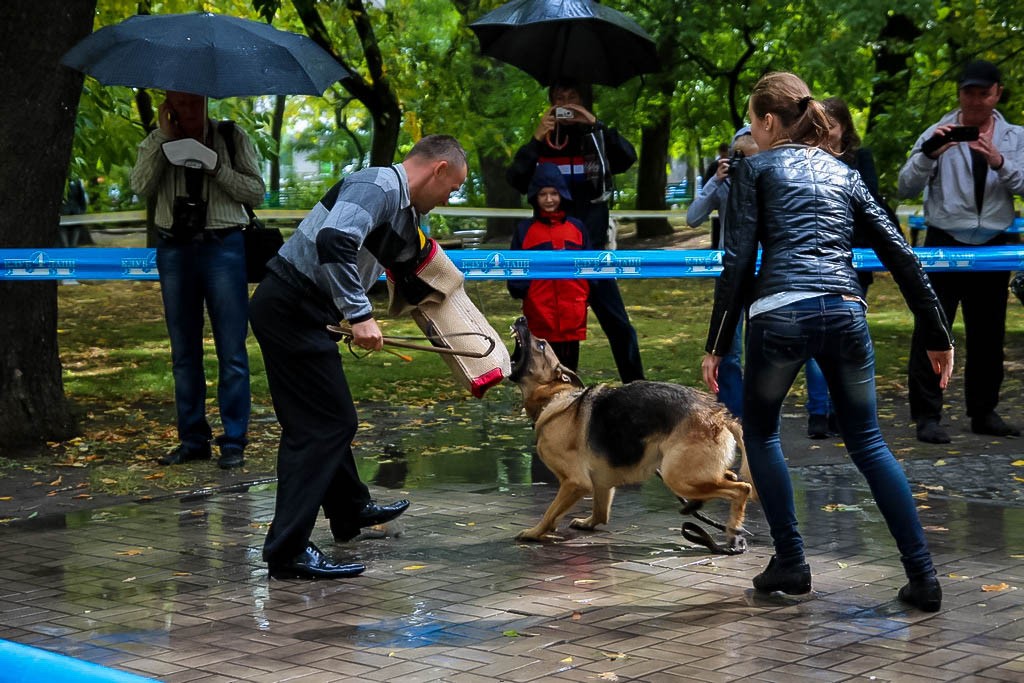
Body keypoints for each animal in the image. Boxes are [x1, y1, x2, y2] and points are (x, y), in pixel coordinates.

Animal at [509, 317, 753, 552]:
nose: (521, 318)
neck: (554, 397)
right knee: (729, 477)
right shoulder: (601, 484)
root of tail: (719, 414)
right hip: (690, 473)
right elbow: (599, 513)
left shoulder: (575, 483)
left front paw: (535, 532)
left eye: (541, 345)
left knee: (742, 489)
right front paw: (583, 523)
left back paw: (733, 530)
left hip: (677, 476)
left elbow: (550, 512)